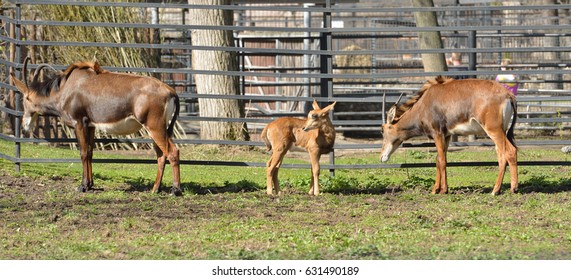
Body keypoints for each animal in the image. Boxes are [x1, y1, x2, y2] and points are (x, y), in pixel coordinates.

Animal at [10, 58, 181, 196]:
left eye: (25, 99)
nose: (25, 126)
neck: (64, 89)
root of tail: (171, 92)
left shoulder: (79, 123)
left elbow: (83, 153)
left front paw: (83, 186)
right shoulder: (90, 125)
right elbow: (90, 152)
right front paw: (91, 185)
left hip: (155, 127)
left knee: (172, 152)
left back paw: (175, 190)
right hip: (158, 129)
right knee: (161, 155)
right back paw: (155, 189)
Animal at [380, 76, 520, 195]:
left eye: (383, 130)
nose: (382, 157)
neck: (424, 103)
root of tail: (508, 95)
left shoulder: (437, 133)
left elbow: (442, 160)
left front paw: (444, 190)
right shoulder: (446, 135)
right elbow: (438, 159)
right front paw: (435, 189)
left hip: (494, 130)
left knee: (510, 151)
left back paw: (510, 189)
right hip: (501, 130)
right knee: (501, 155)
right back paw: (497, 189)